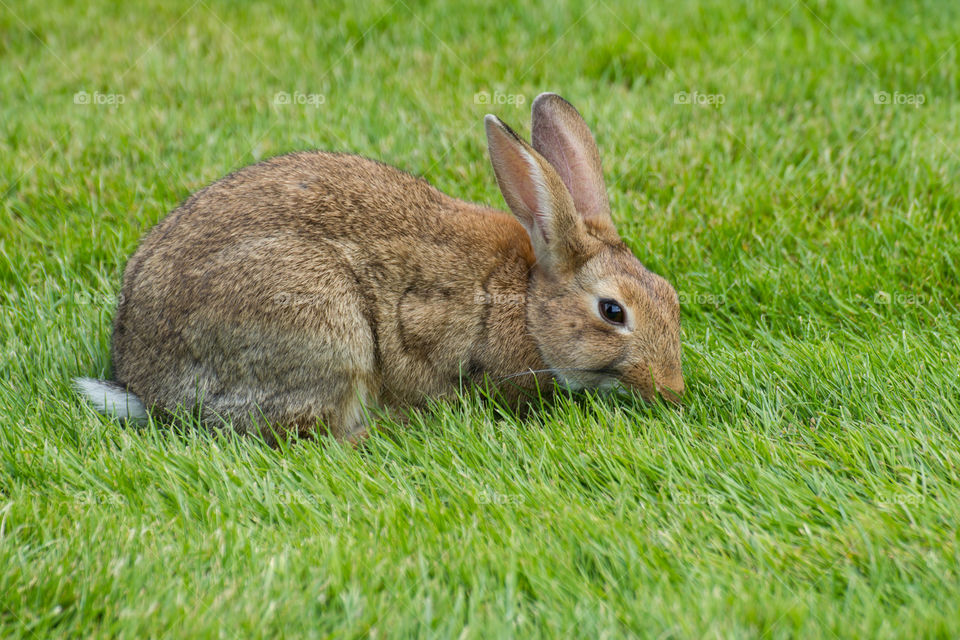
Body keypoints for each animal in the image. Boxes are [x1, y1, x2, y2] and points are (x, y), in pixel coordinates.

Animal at [77, 92, 684, 442]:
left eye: (670, 296)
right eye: (612, 312)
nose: (672, 390)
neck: (531, 301)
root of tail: (144, 381)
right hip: (324, 327)